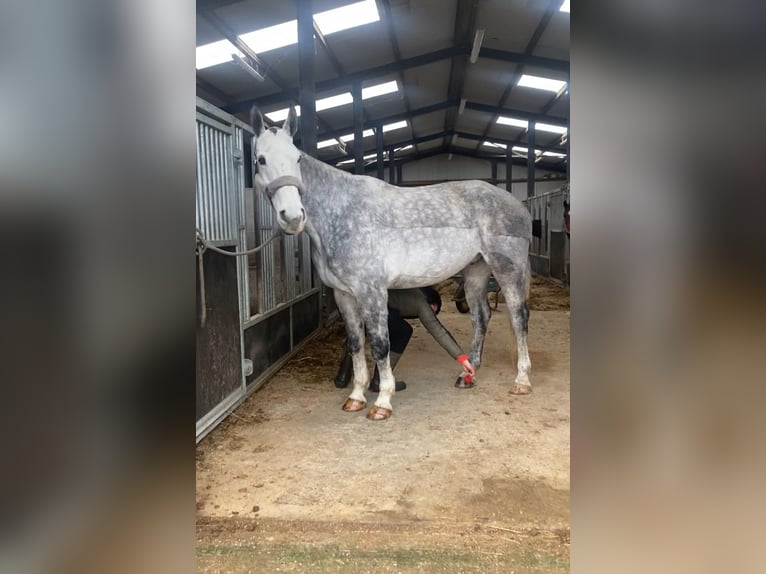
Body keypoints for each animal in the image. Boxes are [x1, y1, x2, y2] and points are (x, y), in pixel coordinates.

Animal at [252, 109, 536, 424]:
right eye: (260, 159)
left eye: (298, 158)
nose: (292, 217)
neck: (342, 212)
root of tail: (519, 206)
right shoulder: (344, 295)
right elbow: (355, 343)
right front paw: (355, 397)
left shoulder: (372, 291)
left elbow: (379, 344)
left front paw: (382, 402)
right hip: (476, 272)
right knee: (481, 317)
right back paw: (468, 375)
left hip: (508, 269)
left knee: (518, 317)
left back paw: (522, 381)